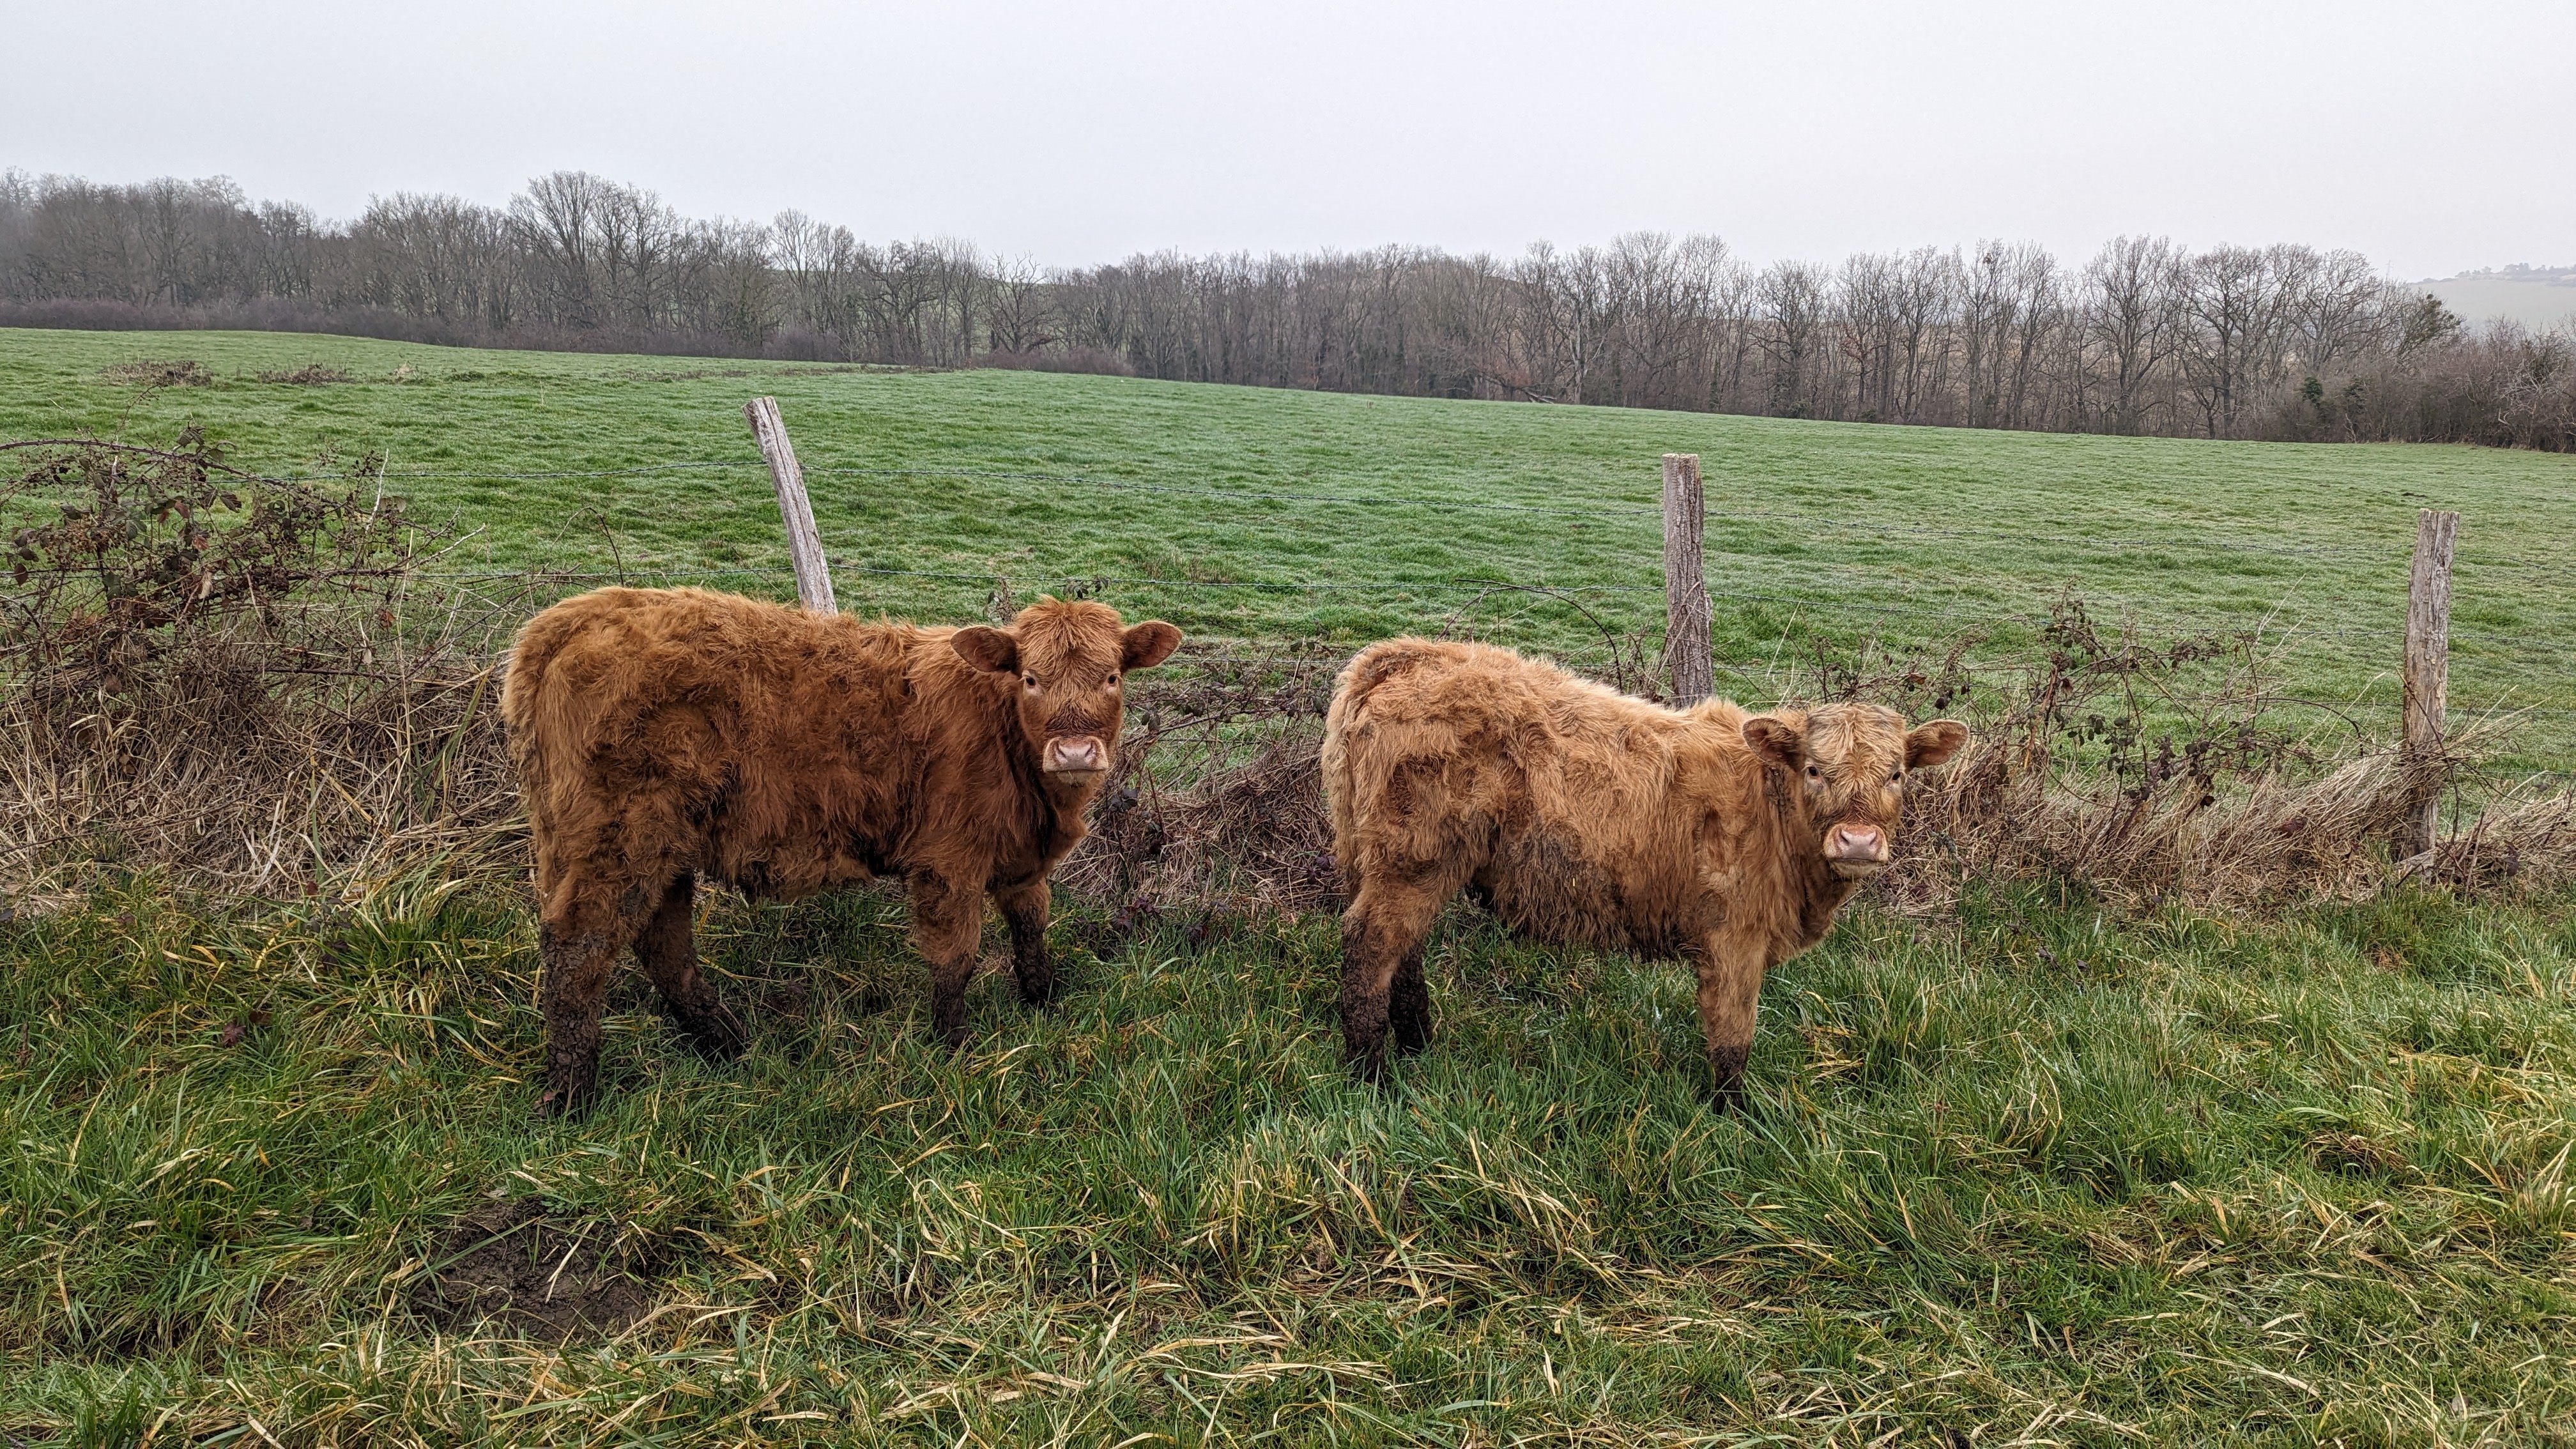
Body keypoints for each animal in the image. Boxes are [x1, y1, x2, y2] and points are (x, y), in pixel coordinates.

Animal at [499, 586, 1181, 1114]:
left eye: (1112, 677)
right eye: (1032, 679)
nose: (1075, 753)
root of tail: (570, 618)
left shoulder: (1018, 857)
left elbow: (1032, 926)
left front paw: (1042, 1003)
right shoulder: (949, 860)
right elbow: (956, 957)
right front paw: (954, 1045)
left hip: (656, 845)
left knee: (664, 945)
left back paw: (727, 1045)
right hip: (618, 836)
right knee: (580, 947)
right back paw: (572, 1094)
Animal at [1320, 638, 1965, 1105]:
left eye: (1896, 774)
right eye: (1813, 769)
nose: (1858, 841)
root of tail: (1403, 653)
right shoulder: (1734, 939)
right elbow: (1733, 1038)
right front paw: (1732, 1116)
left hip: (1387, 861)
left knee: (1403, 953)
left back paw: (1418, 1047)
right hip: (1415, 860)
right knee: (1372, 947)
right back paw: (1373, 1077)